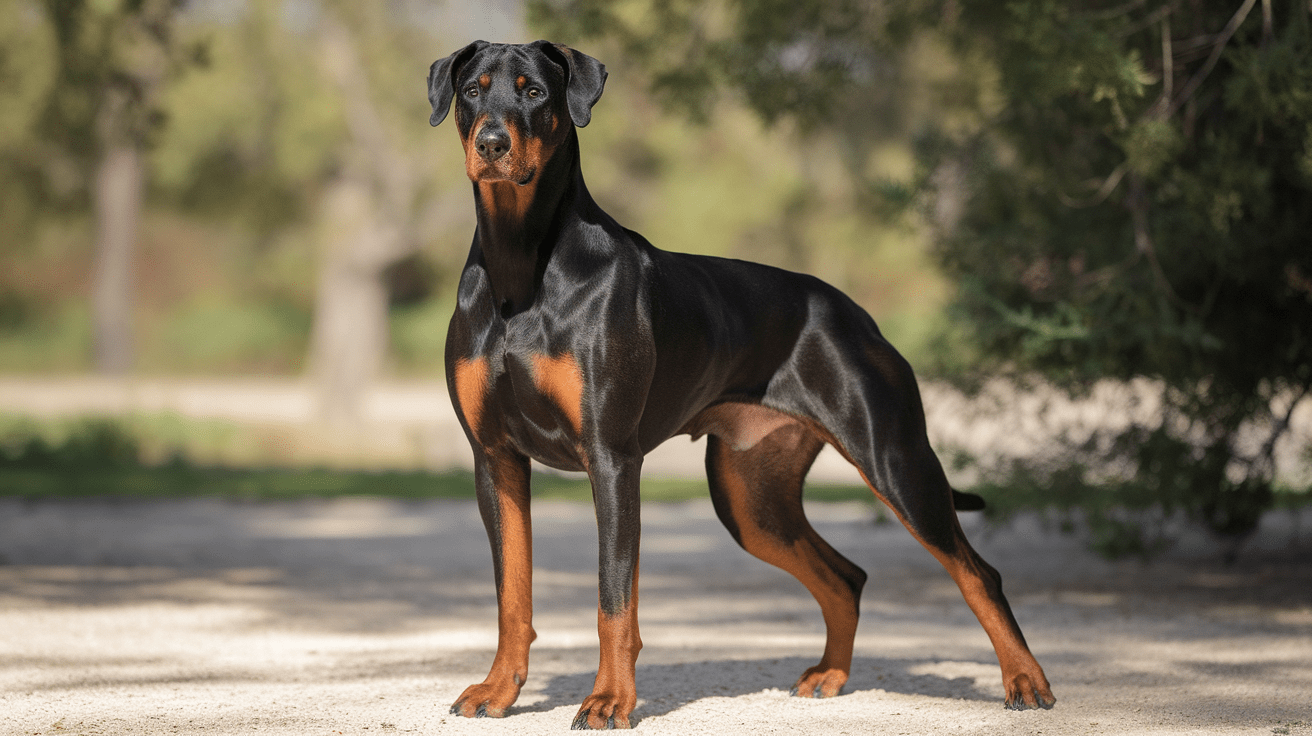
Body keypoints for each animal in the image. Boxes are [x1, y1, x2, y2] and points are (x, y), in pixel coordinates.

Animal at [430, 38, 1054, 724]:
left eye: (535, 92)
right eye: (472, 90)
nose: (491, 143)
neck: (521, 264)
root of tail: (857, 315)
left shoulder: (610, 457)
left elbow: (615, 598)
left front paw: (610, 700)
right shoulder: (495, 458)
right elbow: (511, 593)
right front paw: (498, 689)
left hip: (895, 461)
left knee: (977, 572)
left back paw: (1026, 681)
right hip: (750, 497)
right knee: (845, 576)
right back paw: (830, 675)